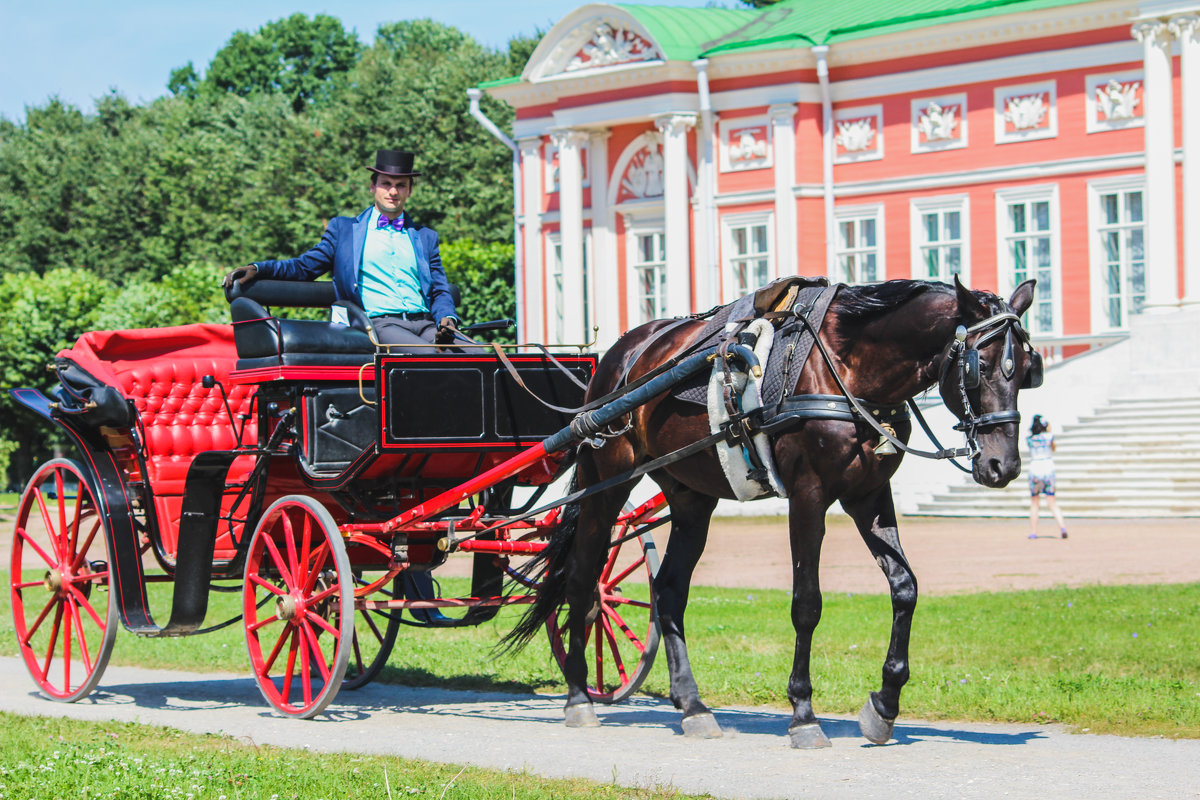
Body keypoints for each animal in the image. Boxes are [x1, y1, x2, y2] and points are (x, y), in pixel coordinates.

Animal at [504, 277, 1041, 753]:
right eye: (980, 365)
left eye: (1028, 370)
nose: (1005, 466)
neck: (846, 365)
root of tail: (624, 352)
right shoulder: (808, 496)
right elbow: (807, 603)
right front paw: (803, 714)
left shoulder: (869, 495)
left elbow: (904, 587)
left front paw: (884, 705)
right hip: (606, 480)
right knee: (582, 579)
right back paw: (578, 697)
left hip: (691, 497)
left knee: (670, 591)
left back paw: (693, 706)